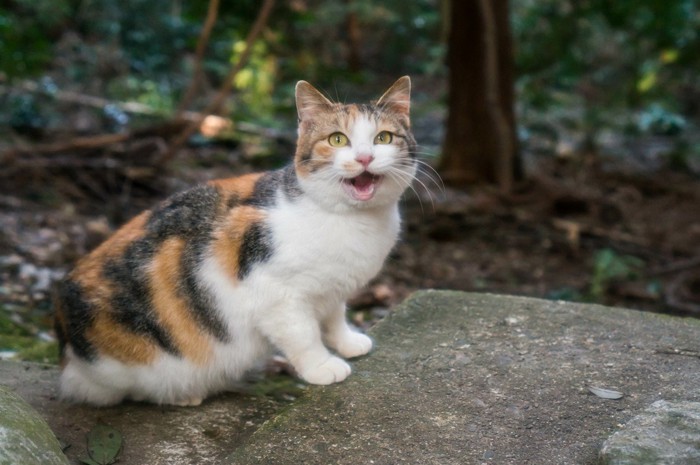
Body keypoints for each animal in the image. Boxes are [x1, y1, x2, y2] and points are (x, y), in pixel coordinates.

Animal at [54, 75, 418, 402]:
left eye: (383, 138)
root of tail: (66, 351)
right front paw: (323, 366)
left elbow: (333, 315)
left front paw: (349, 342)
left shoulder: (331, 288)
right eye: (338, 140)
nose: (364, 158)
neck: (354, 221)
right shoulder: (276, 296)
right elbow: (304, 335)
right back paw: (185, 395)